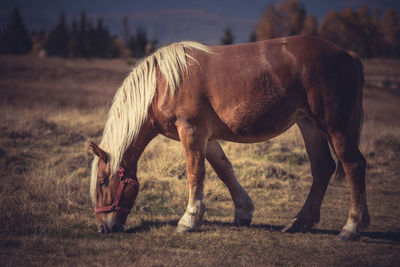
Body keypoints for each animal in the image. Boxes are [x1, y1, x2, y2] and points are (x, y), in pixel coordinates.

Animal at [89, 34, 370, 242]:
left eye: (103, 182)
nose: (103, 227)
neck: (163, 84)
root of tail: (349, 56)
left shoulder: (190, 130)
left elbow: (195, 173)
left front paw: (189, 220)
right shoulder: (207, 137)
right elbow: (224, 170)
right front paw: (243, 211)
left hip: (334, 126)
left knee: (353, 165)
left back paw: (351, 227)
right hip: (309, 125)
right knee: (322, 168)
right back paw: (300, 222)